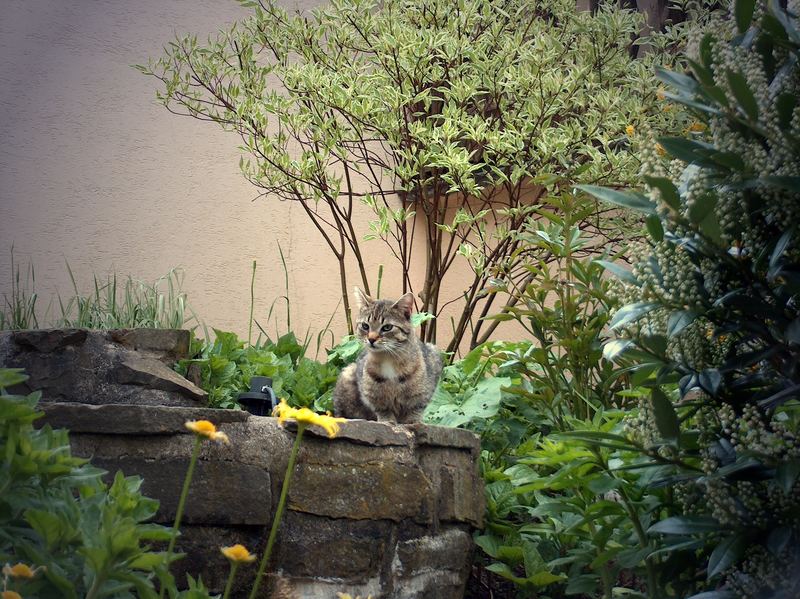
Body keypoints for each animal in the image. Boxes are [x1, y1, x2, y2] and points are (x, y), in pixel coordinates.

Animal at [332, 290, 444, 422]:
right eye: (365, 326)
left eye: (387, 327)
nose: (371, 339)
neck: (388, 358)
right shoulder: (375, 397)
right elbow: (384, 411)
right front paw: (388, 421)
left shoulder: (421, 395)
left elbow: (414, 411)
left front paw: (412, 422)